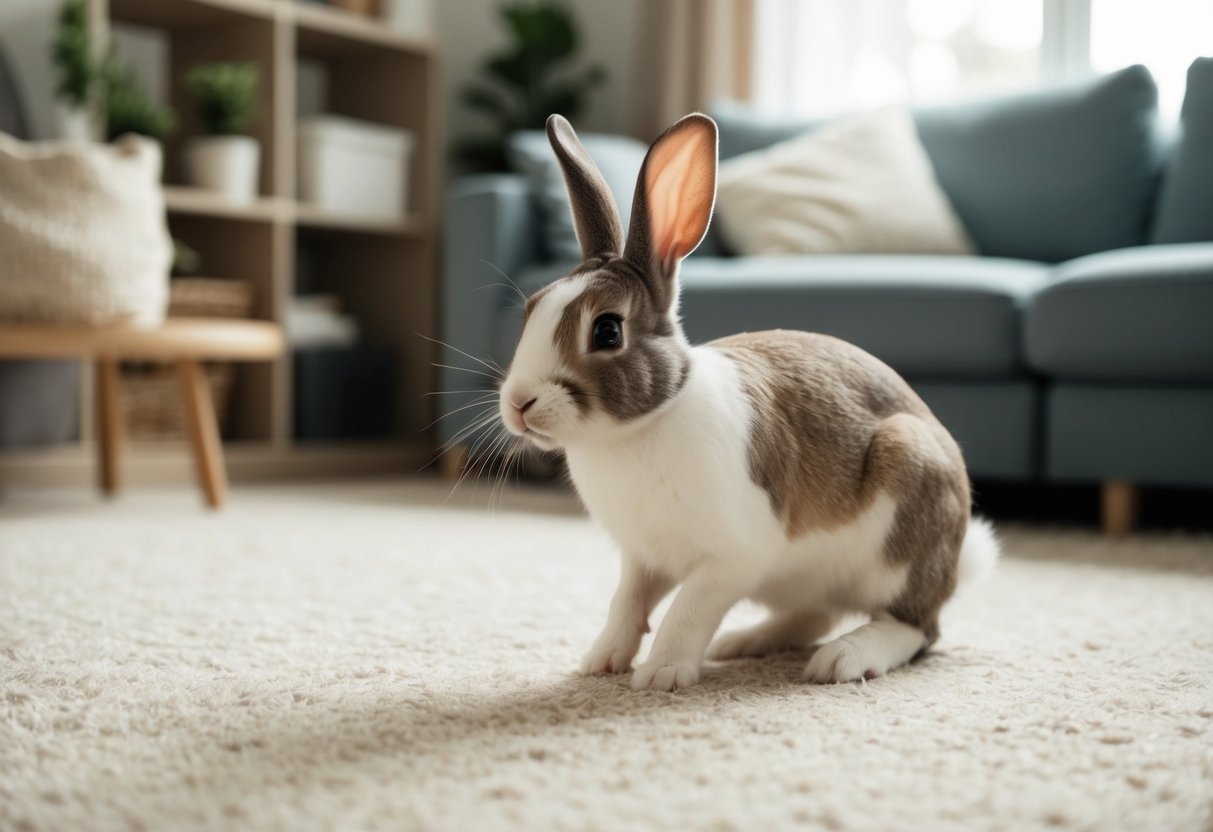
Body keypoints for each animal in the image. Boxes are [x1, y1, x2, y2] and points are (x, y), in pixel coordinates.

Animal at [497, 113, 999, 691]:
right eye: (532, 308)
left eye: (606, 330)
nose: (518, 403)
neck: (647, 422)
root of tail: (955, 559)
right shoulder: (642, 558)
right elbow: (626, 605)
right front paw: (599, 662)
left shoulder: (732, 559)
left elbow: (686, 610)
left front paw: (660, 675)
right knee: (818, 613)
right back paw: (747, 642)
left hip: (902, 516)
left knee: (916, 626)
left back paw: (845, 658)